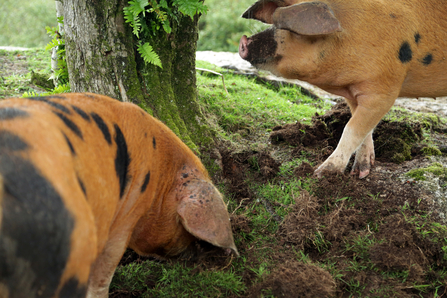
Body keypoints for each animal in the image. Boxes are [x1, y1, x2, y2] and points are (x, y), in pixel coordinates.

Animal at [240, 0, 447, 177]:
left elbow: (351, 129)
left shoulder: (383, 90)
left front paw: (321, 173)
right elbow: (364, 131)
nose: (243, 42)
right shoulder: (354, 94)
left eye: (293, 30)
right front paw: (361, 172)